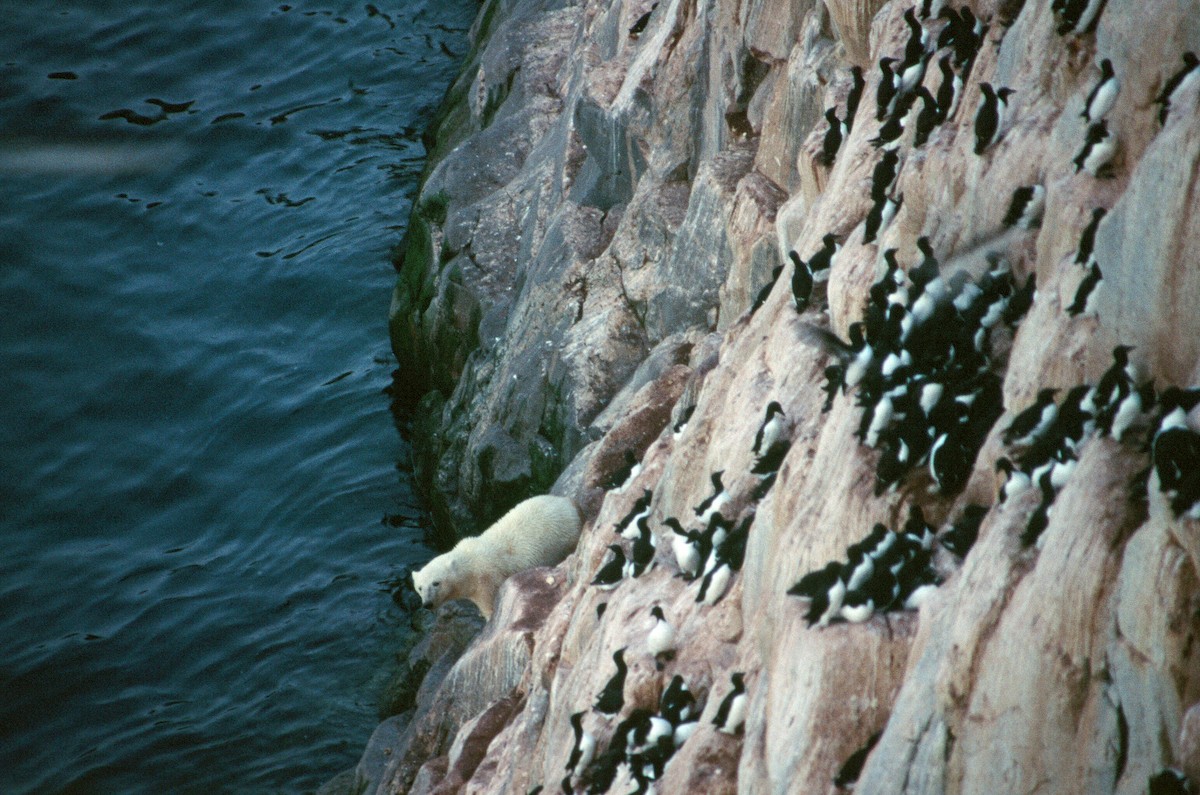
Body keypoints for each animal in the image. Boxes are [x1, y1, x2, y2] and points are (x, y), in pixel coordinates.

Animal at [412, 494, 580, 619]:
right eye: (419, 587)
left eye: (436, 583)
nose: (427, 604)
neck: (469, 566)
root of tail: (568, 502)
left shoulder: (487, 582)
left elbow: (490, 608)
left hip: (564, 537)